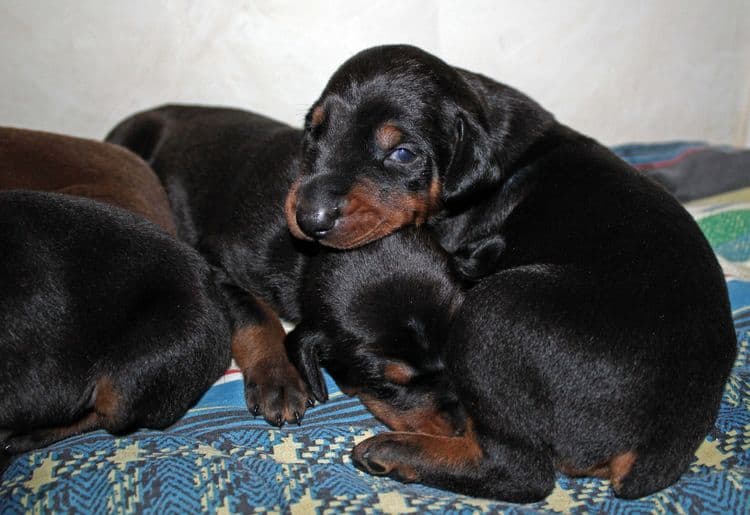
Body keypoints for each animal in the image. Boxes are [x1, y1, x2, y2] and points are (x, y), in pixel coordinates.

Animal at [288, 45, 740, 504]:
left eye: (402, 154)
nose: (309, 218)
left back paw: (394, 452)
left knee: (521, 471)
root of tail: (660, 444)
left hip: (489, 312)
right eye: (315, 133)